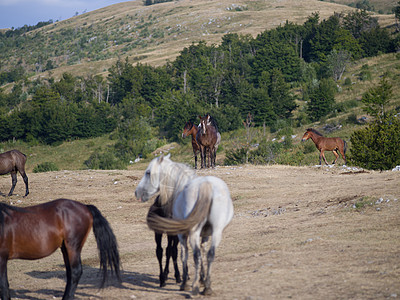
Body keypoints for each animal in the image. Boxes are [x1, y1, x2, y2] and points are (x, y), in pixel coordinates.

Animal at [136, 155, 233, 296]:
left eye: (148, 173)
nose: (137, 193)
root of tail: (206, 185)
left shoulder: (181, 234)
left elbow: (183, 254)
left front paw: (185, 282)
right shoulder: (205, 235)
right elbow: (203, 252)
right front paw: (203, 280)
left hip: (192, 232)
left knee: (194, 255)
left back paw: (193, 287)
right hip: (217, 231)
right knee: (210, 254)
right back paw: (207, 289)